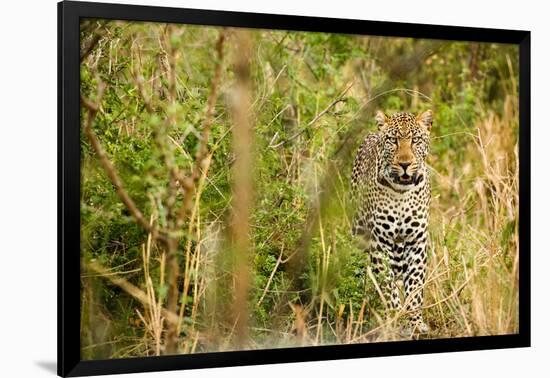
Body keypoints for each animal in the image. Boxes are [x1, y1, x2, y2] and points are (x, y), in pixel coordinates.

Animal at [354, 108, 436, 334]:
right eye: (393, 140)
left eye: (415, 140)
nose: (405, 164)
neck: (401, 193)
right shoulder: (379, 242)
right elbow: (387, 285)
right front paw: (396, 318)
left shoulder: (416, 242)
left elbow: (415, 285)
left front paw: (414, 321)